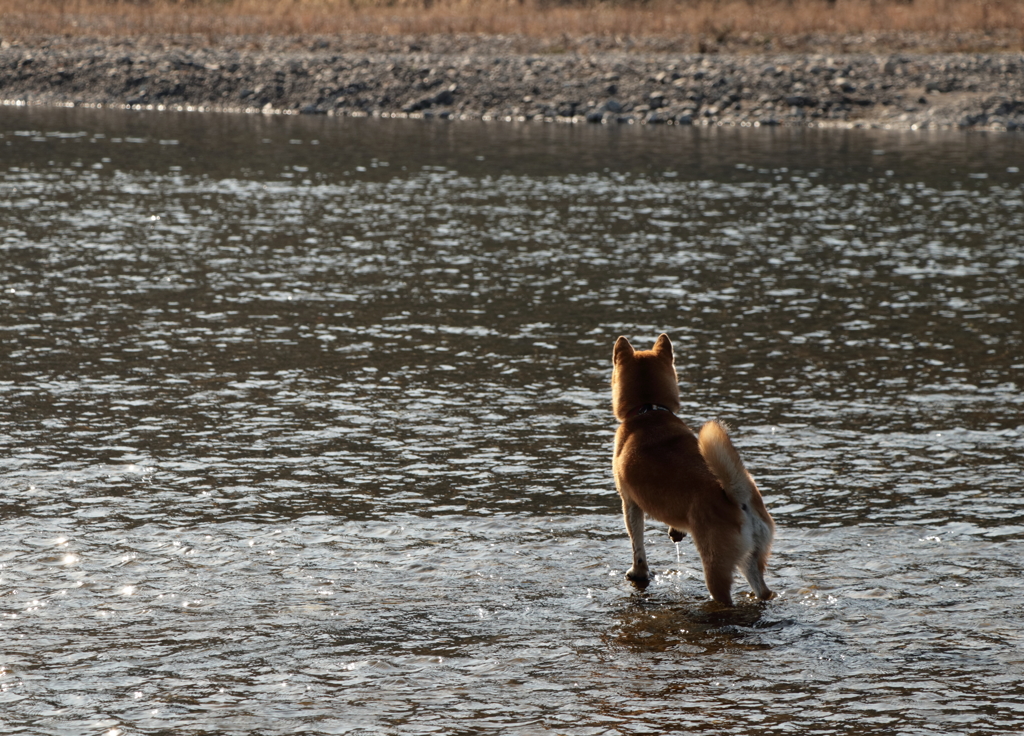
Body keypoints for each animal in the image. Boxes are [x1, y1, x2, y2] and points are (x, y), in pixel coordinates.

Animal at [610, 333, 770, 605]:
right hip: (750, 561)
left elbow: (637, 544)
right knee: (764, 591)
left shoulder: (629, 503)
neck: (648, 410)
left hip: (715, 567)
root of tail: (739, 500)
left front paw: (637, 572)